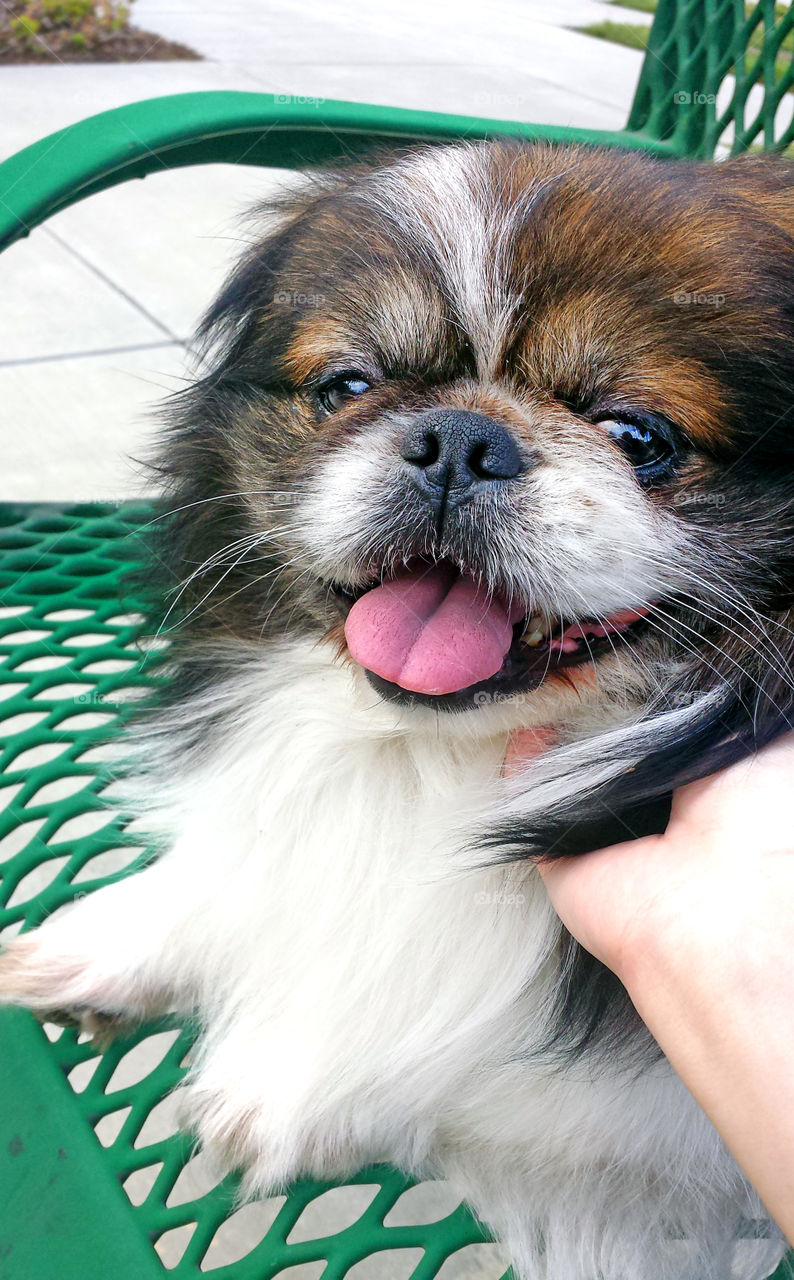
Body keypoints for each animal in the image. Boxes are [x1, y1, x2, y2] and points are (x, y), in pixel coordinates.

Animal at [1, 140, 794, 1280]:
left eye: (637, 434)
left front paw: (283, 1090)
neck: (427, 758)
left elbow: (441, 1032)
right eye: (346, 386)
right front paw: (112, 939)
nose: (459, 437)